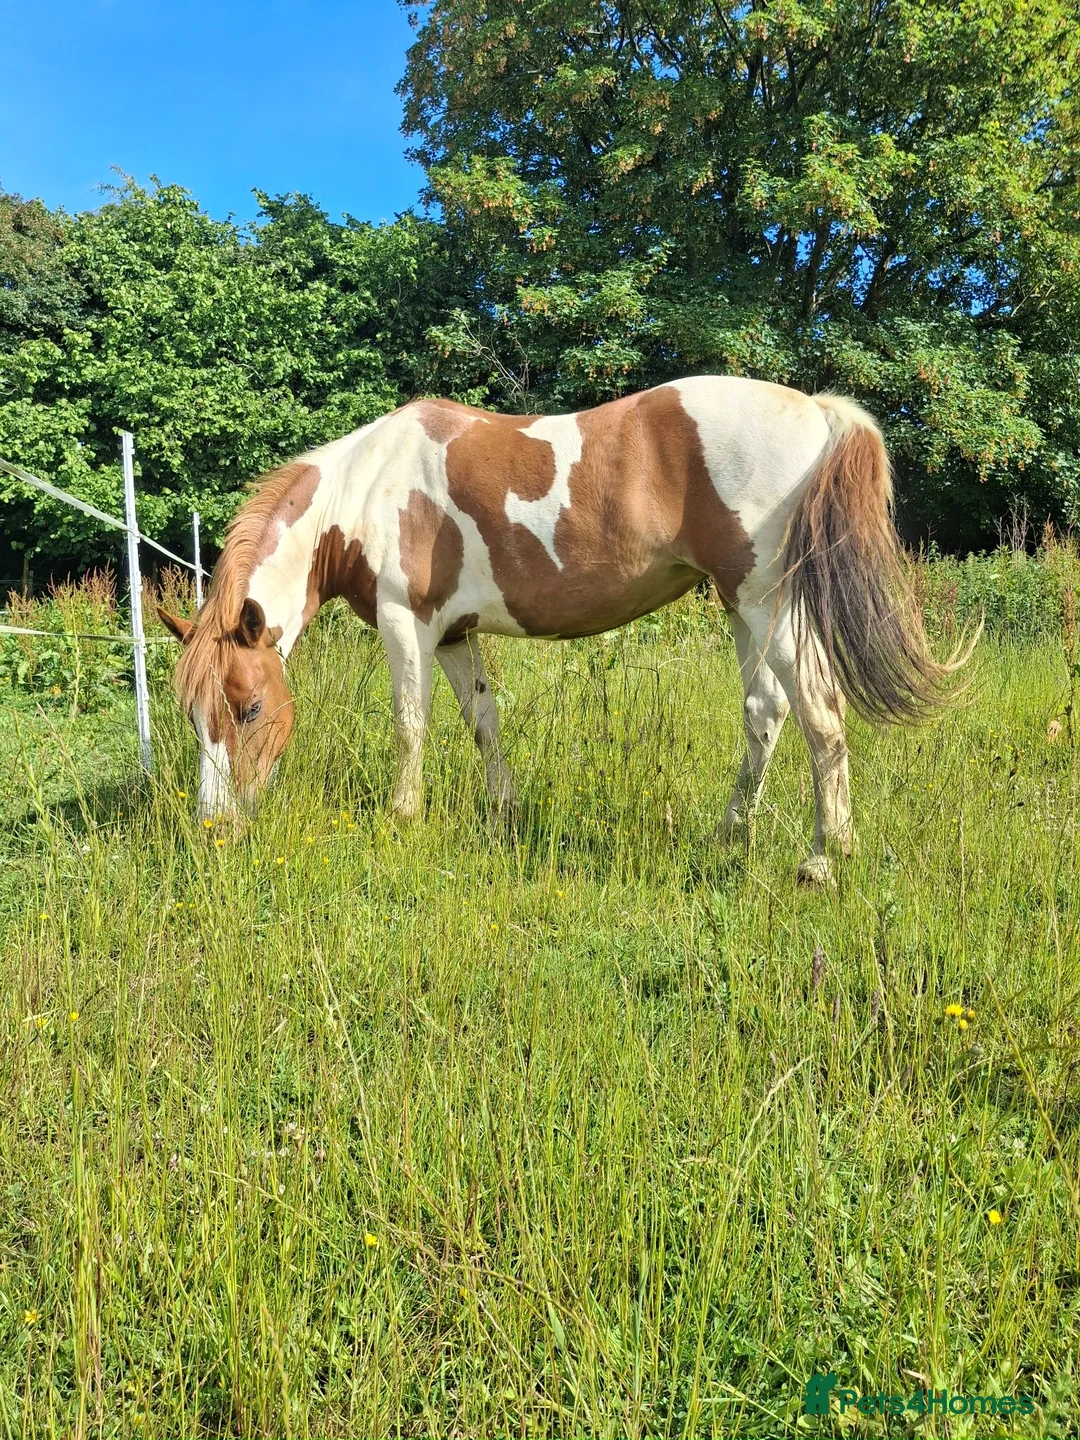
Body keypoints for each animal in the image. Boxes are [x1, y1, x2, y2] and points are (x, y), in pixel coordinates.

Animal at [158, 375, 962, 882]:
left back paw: (826, 858)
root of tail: (818, 412)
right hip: (744, 608)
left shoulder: (404, 623)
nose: (214, 829)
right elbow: (482, 721)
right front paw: (505, 813)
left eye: (249, 708)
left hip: (769, 602)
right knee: (766, 711)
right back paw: (731, 834)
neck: (363, 492)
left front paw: (402, 818)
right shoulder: (455, 636)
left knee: (821, 715)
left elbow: (411, 723)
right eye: (192, 715)